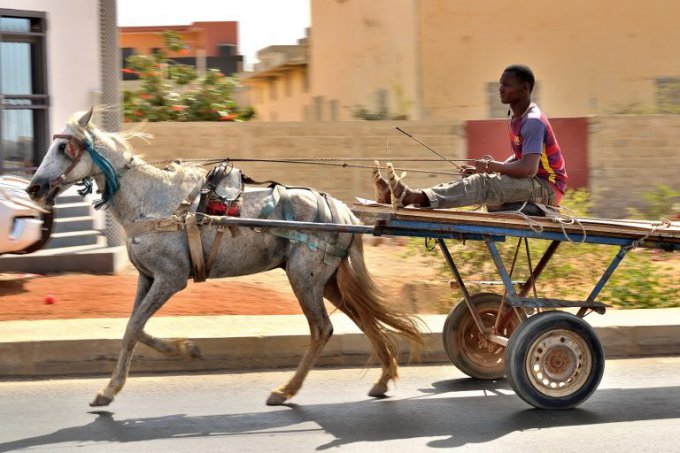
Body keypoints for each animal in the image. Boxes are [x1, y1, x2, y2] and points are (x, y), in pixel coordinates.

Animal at [29, 108, 422, 406]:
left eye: (64, 147)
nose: (34, 187)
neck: (155, 202)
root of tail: (343, 211)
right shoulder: (147, 277)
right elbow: (133, 328)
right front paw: (130, 378)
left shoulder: (171, 278)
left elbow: (134, 327)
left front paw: (173, 355)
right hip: (329, 281)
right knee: (362, 317)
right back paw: (382, 378)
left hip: (305, 278)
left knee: (322, 329)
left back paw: (285, 390)